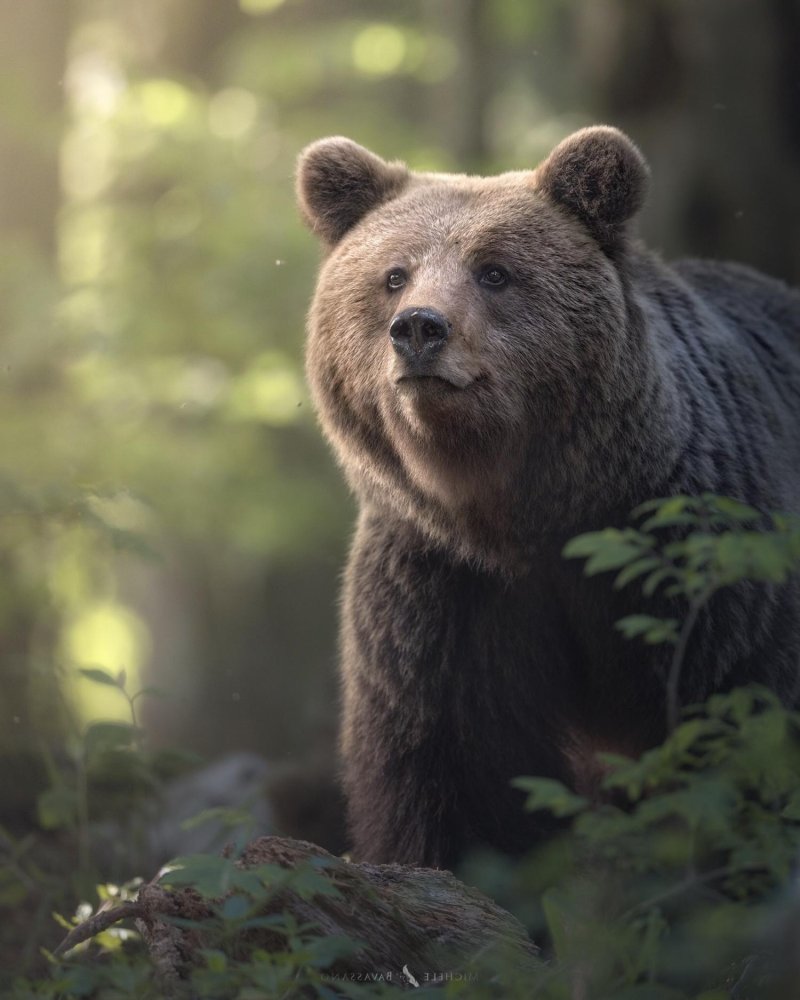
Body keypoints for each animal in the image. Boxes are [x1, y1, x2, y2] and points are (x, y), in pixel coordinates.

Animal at [296, 127, 800, 868]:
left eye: (494, 272)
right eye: (394, 275)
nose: (419, 328)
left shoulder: (698, 563)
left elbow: (732, 727)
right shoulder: (445, 592)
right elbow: (455, 772)